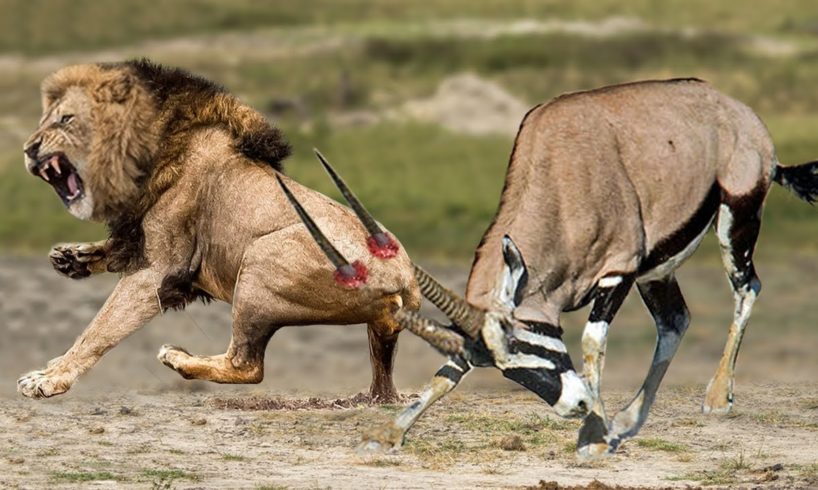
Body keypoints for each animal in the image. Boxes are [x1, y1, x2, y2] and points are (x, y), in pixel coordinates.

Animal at [19, 59, 418, 402]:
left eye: (65, 120)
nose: (28, 148)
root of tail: (406, 281)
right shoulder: (138, 238)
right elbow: (113, 256)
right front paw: (71, 258)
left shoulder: (160, 272)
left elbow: (99, 329)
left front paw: (50, 378)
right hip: (375, 333)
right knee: (383, 385)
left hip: (259, 262)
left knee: (247, 366)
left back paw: (177, 357)